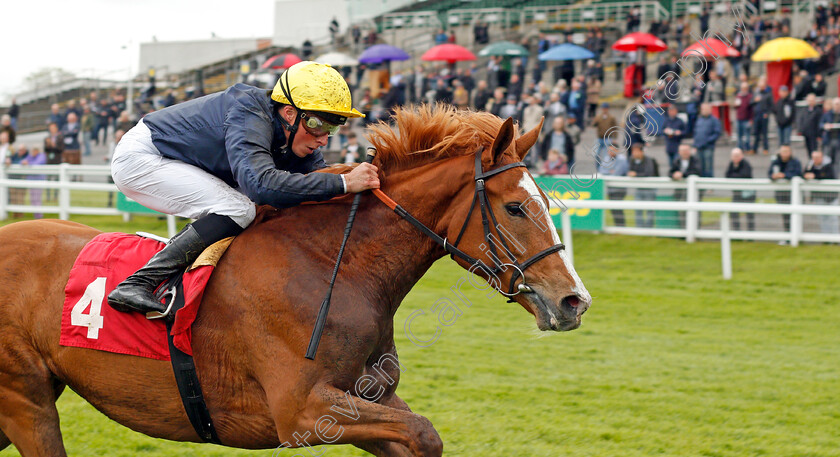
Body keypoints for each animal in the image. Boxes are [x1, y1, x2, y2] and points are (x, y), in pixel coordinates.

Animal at [0, 105, 592, 454]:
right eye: (515, 207)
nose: (574, 300)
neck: (334, 265)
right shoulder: (302, 411)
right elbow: (422, 431)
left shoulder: (367, 399)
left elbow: (423, 437)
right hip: (25, 399)